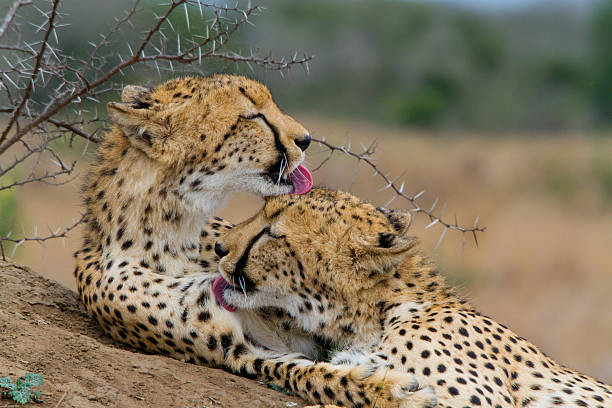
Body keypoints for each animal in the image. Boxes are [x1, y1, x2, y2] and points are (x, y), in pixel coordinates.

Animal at [74, 76, 432, 408]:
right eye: (252, 116)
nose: (306, 139)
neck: (177, 236)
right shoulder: (235, 350)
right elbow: (310, 374)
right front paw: (389, 391)